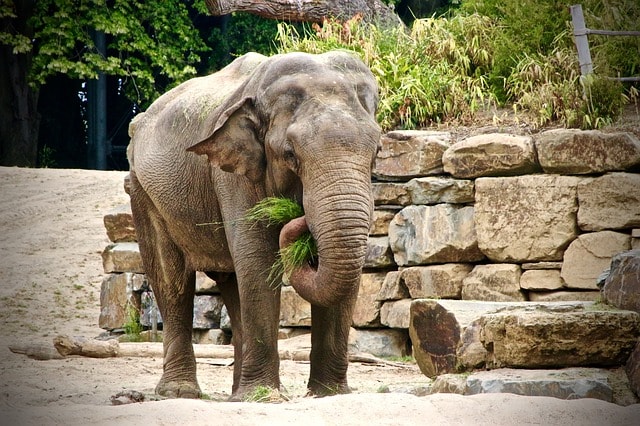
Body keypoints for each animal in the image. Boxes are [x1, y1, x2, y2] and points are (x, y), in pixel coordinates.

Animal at [127, 50, 382, 400]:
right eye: (290, 154)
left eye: (376, 153)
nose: (298, 215)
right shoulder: (232, 175)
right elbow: (258, 260)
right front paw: (265, 396)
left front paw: (330, 394)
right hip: (142, 192)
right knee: (172, 281)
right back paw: (181, 392)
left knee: (232, 282)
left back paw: (237, 392)